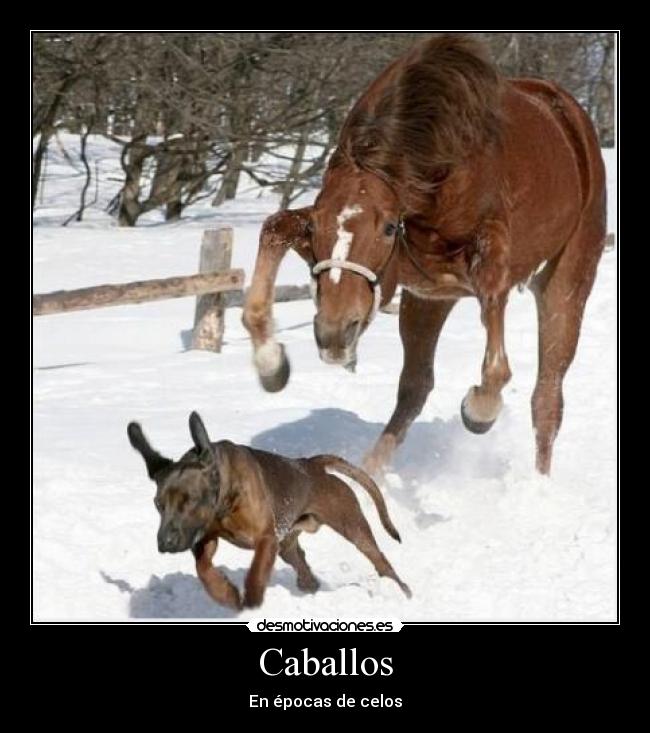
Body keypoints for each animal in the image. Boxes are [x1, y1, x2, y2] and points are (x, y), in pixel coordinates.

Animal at [242, 34, 607, 477]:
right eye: (317, 227)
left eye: (387, 227)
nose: (334, 333)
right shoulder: (403, 271)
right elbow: (274, 229)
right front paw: (271, 364)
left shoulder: (489, 256)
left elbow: (497, 364)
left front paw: (478, 411)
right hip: (428, 301)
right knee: (415, 388)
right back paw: (369, 473)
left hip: (566, 282)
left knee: (547, 396)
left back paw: (537, 481)